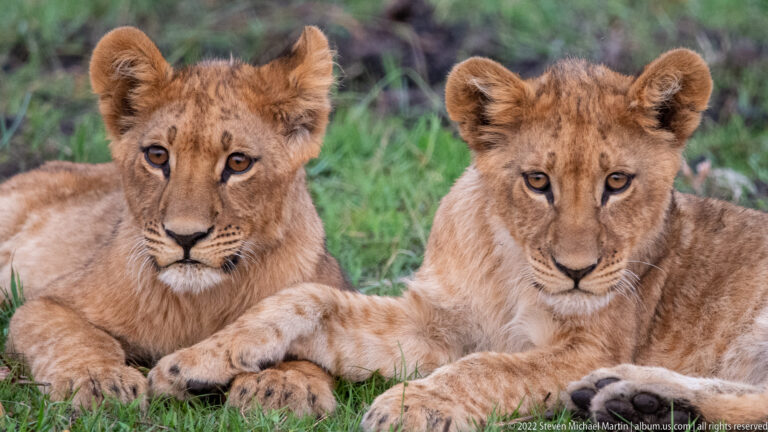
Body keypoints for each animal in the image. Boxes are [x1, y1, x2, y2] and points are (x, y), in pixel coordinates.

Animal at [0, 26, 352, 416]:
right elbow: (75, 336)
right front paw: (99, 379)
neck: (198, 305)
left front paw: (282, 384)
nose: (185, 236)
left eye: (239, 162)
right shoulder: (46, 303)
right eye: (157, 156)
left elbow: (303, 339)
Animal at [146, 49, 768, 430]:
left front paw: (412, 404)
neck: (511, 269)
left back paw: (638, 402)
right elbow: (311, 300)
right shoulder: (436, 325)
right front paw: (192, 362)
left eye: (617, 183)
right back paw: (631, 397)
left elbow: (490, 367)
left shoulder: (589, 346)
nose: (576, 271)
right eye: (537, 182)